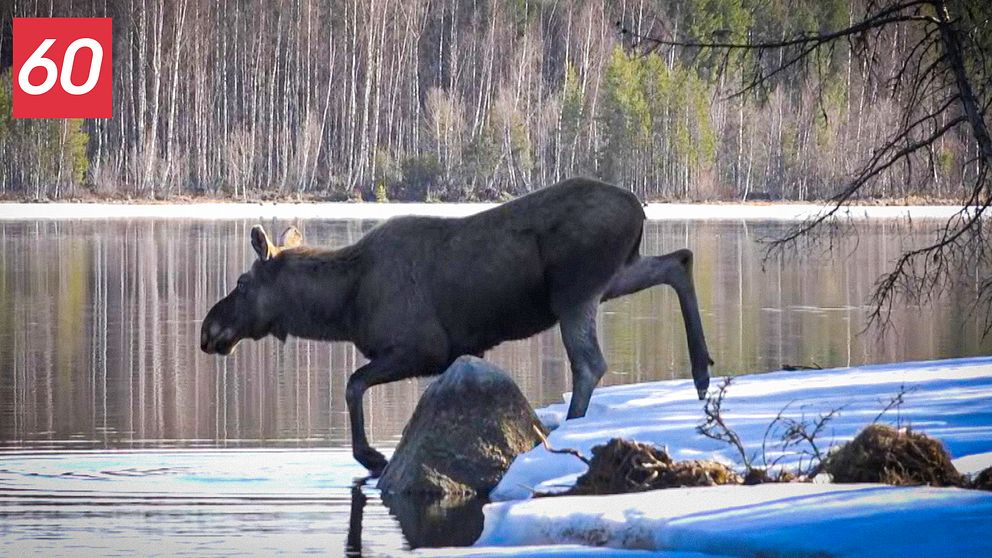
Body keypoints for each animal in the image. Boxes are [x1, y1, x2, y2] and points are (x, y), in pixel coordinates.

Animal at [202, 179, 712, 476]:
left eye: (242, 282)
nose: (208, 329)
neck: (344, 308)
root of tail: (640, 208)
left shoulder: (422, 347)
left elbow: (352, 384)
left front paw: (372, 455)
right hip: (613, 275)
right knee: (679, 260)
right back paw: (702, 373)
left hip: (575, 288)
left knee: (590, 364)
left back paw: (570, 433)